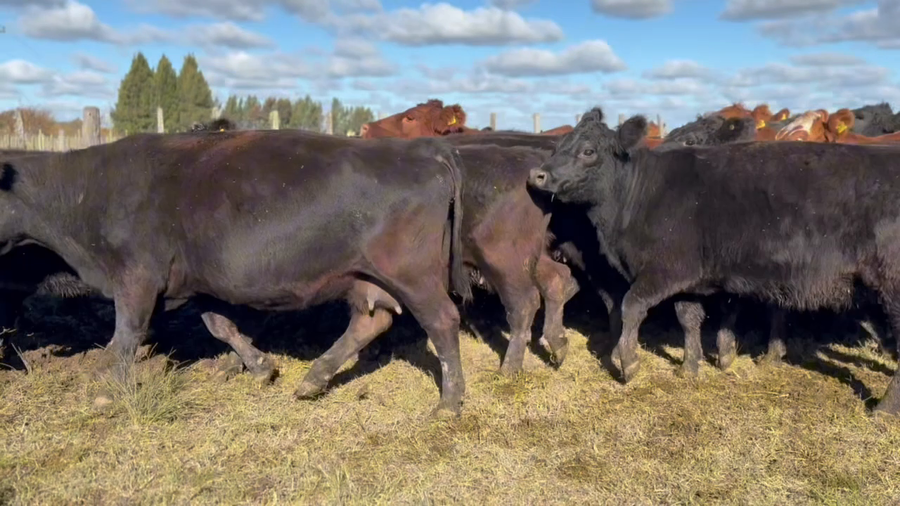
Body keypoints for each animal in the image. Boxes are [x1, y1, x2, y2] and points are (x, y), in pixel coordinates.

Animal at [0, 129, 474, 417]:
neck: (84, 193)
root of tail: (422, 151)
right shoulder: (200, 283)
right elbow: (220, 325)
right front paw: (261, 366)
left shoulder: (136, 276)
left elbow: (126, 335)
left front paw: (106, 388)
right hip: (365, 279)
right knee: (368, 323)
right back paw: (313, 380)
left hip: (412, 275)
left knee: (442, 322)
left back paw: (449, 403)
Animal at [525, 106, 900, 415]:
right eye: (559, 146)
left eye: (588, 151)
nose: (537, 175)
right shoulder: (688, 279)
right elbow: (689, 319)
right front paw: (689, 366)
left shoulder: (663, 270)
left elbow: (631, 306)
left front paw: (628, 363)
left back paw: (884, 410)